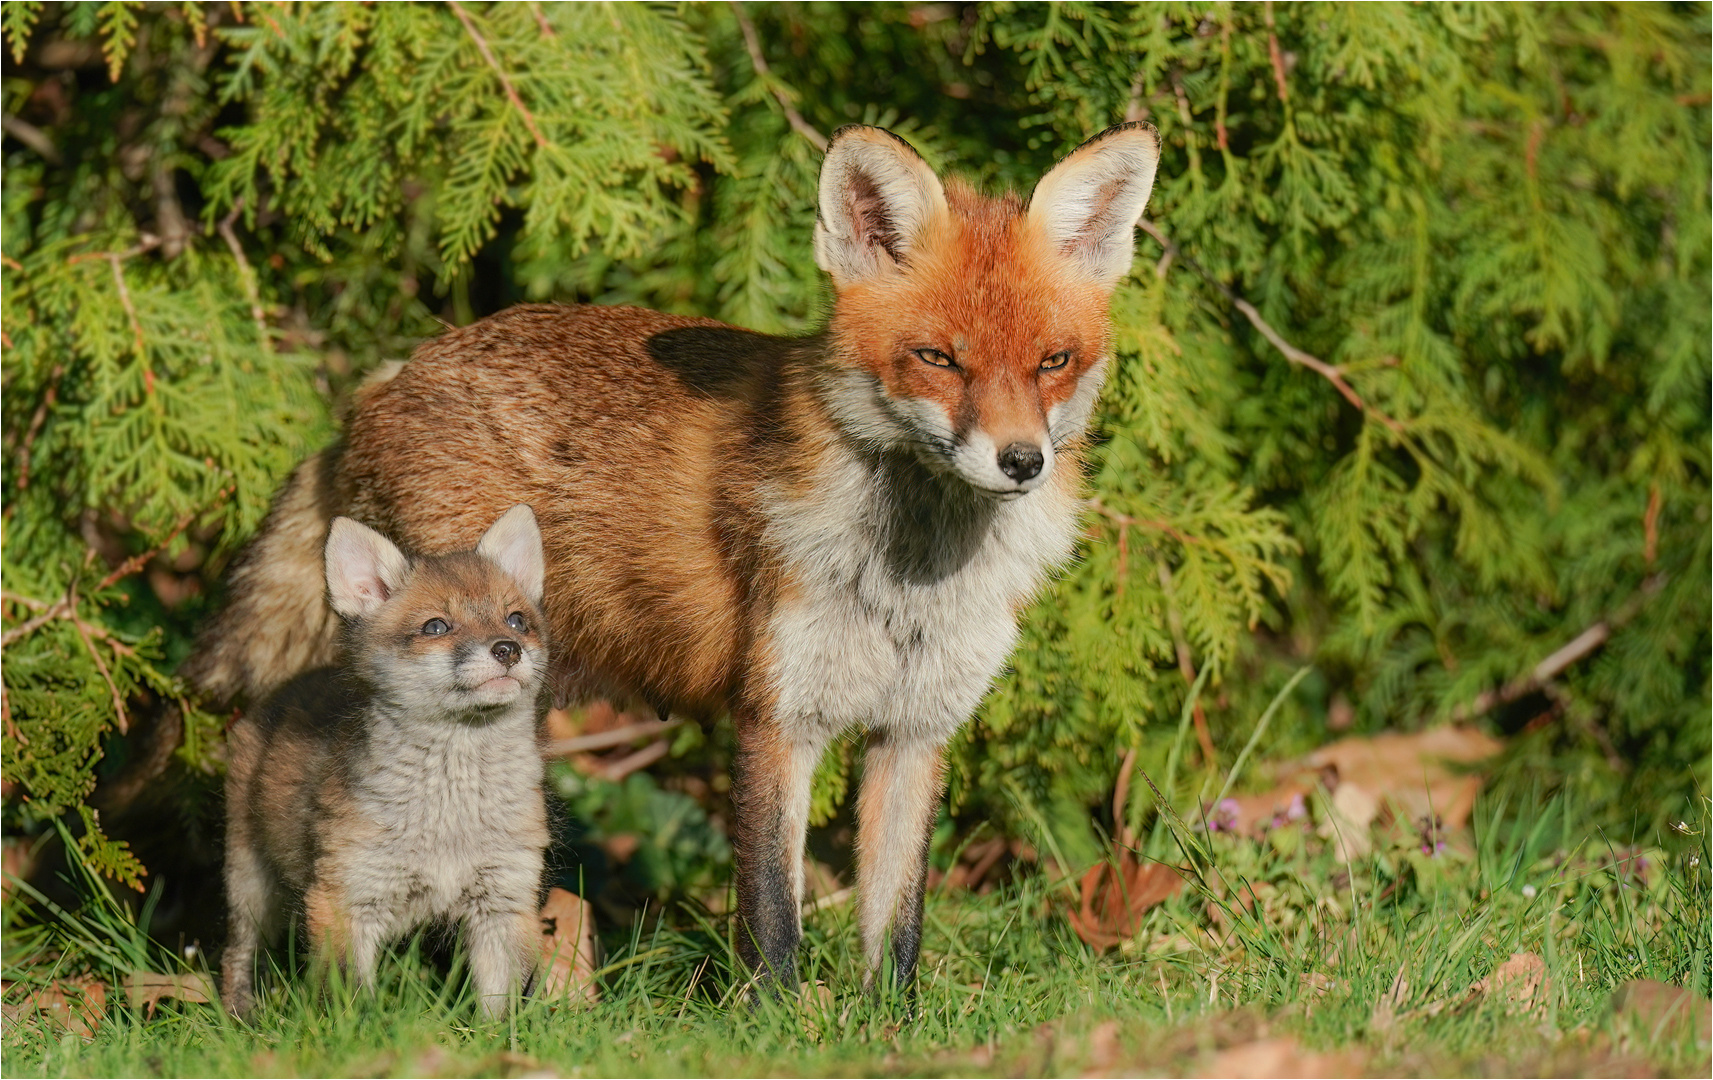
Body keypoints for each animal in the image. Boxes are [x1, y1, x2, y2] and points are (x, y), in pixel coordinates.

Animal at [190, 125, 1164, 1001]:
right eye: (936, 359)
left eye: (1052, 362)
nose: (1020, 461)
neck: (907, 579)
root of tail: (385, 381)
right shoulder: (774, 716)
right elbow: (772, 914)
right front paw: (778, 1027)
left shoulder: (917, 730)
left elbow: (895, 928)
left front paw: (889, 1029)